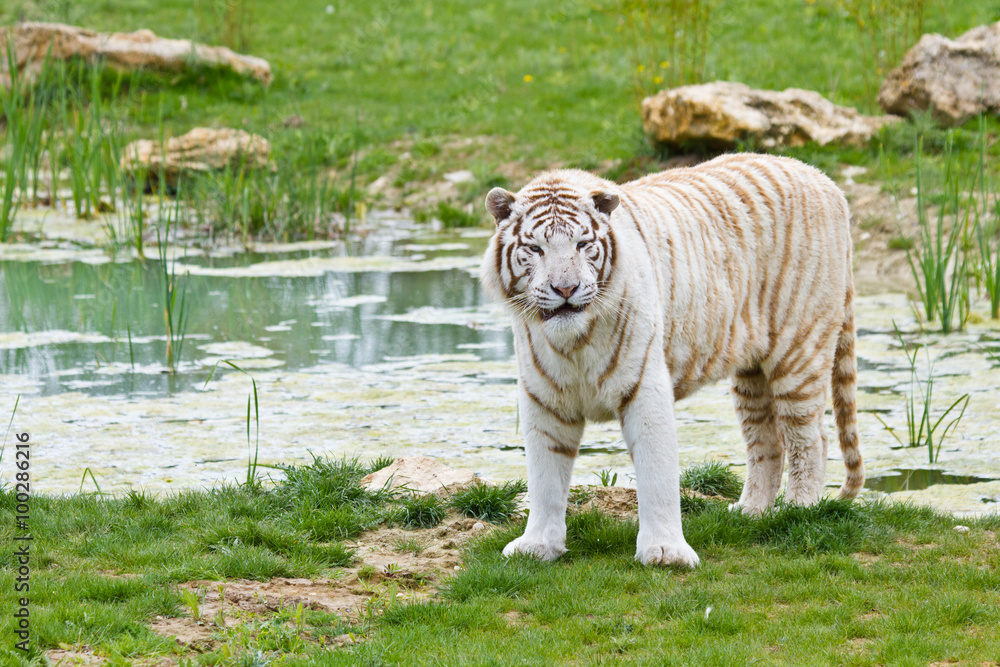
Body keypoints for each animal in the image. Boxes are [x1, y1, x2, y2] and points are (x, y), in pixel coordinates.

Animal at [480, 153, 864, 568]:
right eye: (535, 249)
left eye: (583, 245)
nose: (565, 288)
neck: (576, 341)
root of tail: (823, 179)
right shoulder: (544, 397)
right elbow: (545, 475)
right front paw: (537, 546)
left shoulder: (644, 386)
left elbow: (657, 472)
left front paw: (665, 552)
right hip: (751, 373)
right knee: (766, 440)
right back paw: (750, 511)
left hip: (798, 351)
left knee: (810, 436)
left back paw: (798, 509)